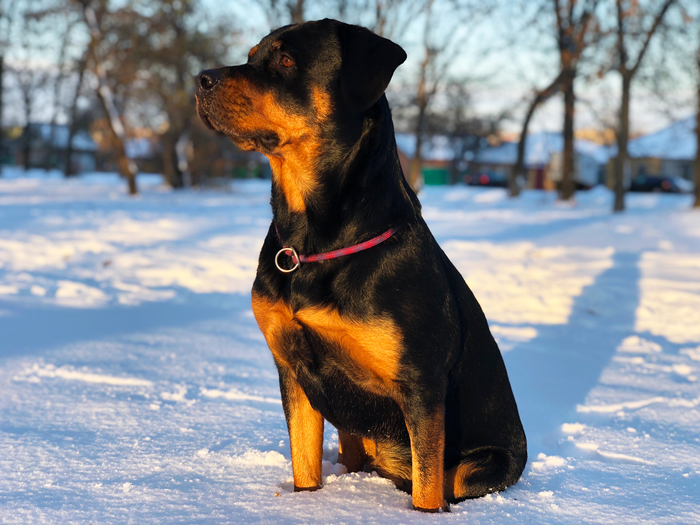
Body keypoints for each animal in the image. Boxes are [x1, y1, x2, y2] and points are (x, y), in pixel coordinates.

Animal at [196, 18, 524, 510]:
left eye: (286, 60)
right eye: (251, 55)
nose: (200, 79)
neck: (311, 240)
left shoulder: (422, 384)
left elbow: (427, 487)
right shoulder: (293, 370)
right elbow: (305, 465)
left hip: (485, 464)